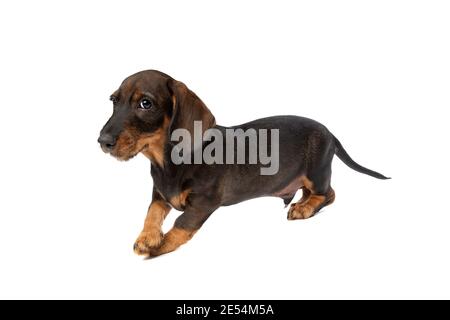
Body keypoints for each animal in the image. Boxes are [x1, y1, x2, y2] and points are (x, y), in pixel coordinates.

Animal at [99, 70, 390, 258]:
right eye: (114, 100)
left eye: (145, 103)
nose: (102, 141)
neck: (166, 163)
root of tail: (330, 132)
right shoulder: (160, 193)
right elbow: (153, 211)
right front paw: (147, 238)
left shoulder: (205, 202)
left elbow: (182, 224)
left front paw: (158, 246)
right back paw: (301, 203)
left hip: (317, 172)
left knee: (328, 194)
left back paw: (304, 209)